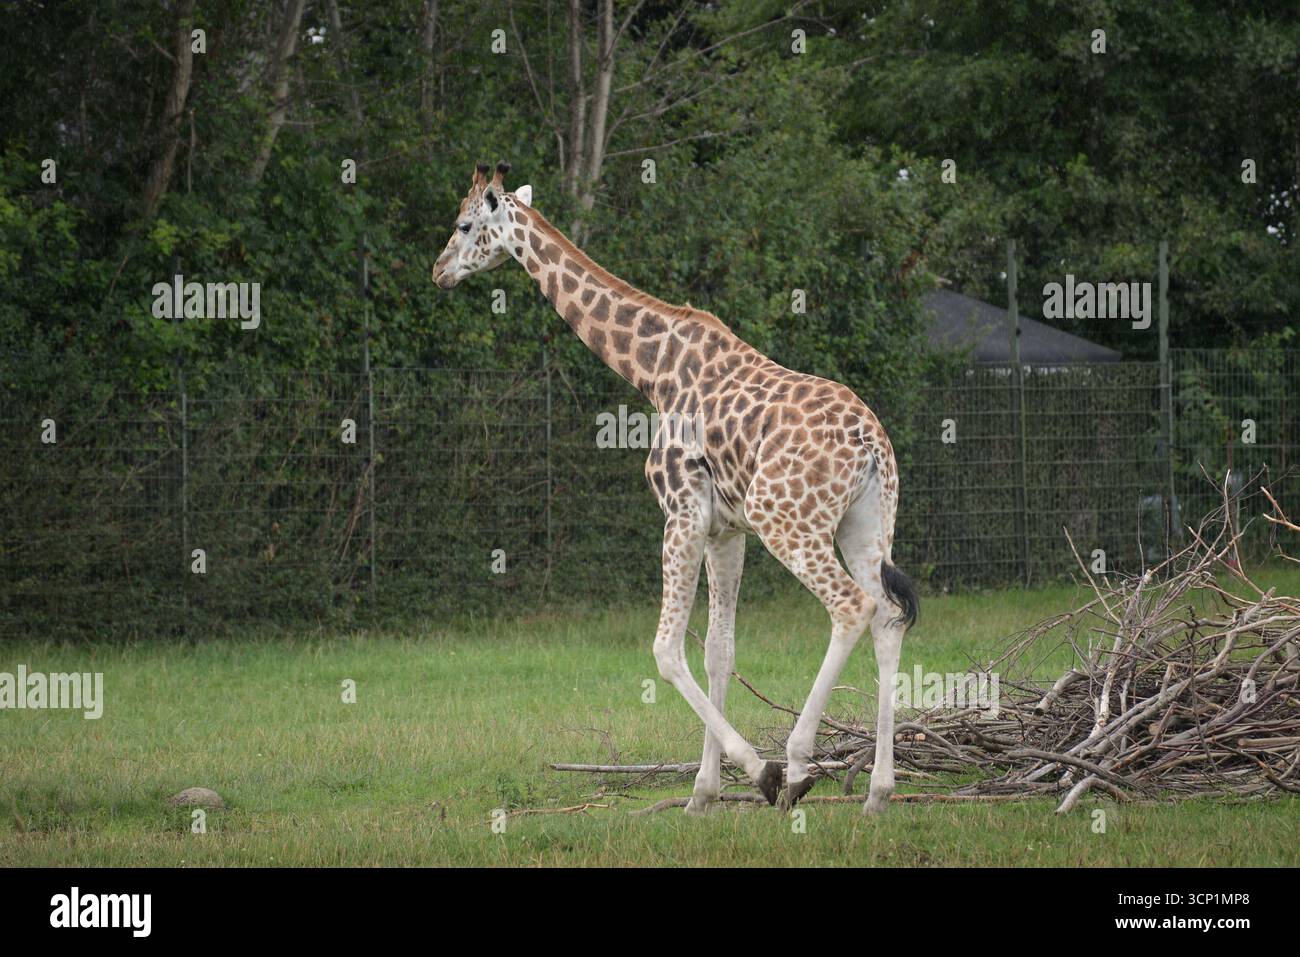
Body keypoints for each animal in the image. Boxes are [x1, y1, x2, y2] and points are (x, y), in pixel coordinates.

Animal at [433, 162, 919, 815]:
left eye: (464, 224)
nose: (439, 269)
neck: (651, 370)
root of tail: (872, 443)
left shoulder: (681, 511)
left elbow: (666, 650)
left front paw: (759, 772)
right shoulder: (724, 530)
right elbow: (719, 651)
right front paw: (702, 794)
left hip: (786, 518)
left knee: (852, 607)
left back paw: (796, 766)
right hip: (863, 523)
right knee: (889, 615)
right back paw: (878, 793)